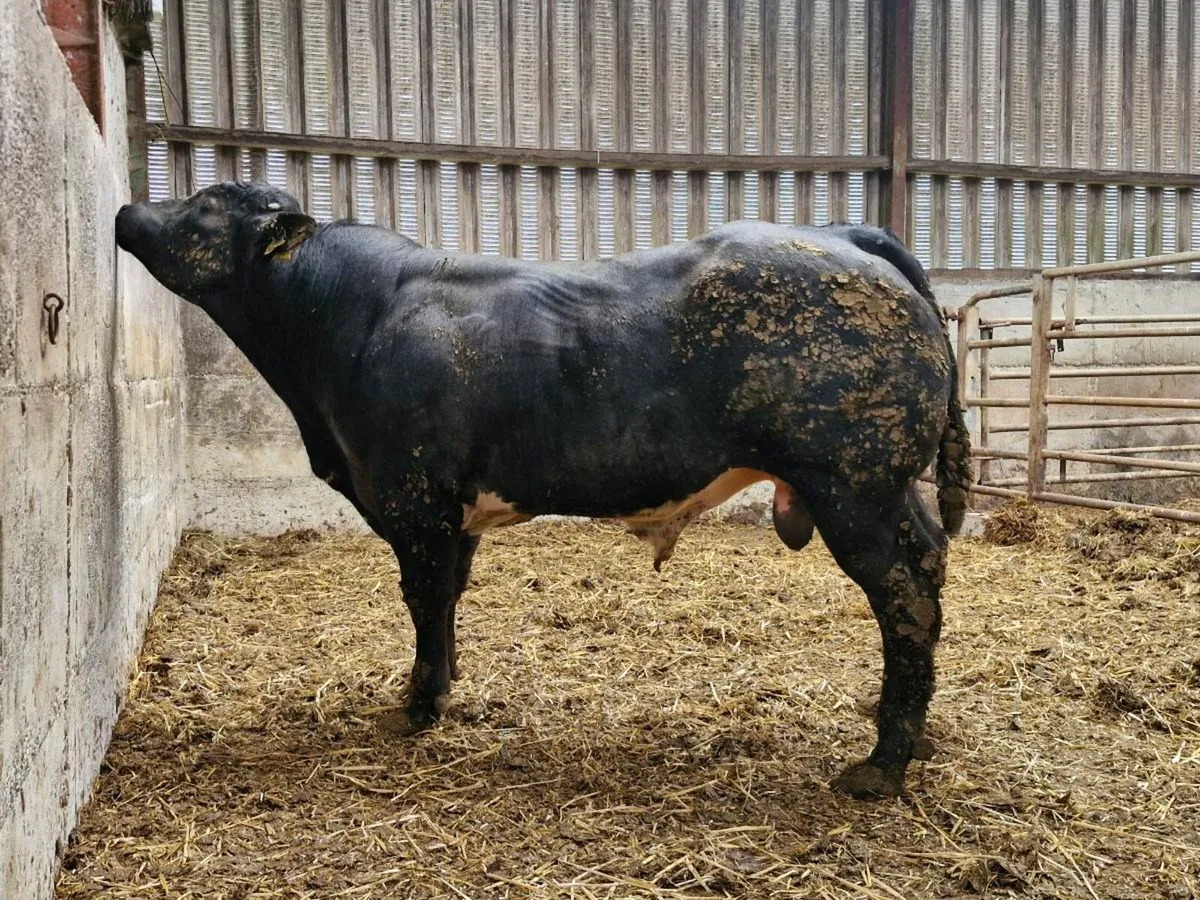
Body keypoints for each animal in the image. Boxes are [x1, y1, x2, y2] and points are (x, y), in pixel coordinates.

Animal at [116, 181, 971, 799]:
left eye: (205, 203)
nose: (127, 209)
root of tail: (844, 236)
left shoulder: (412, 499)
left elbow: (422, 600)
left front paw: (417, 707)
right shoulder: (451, 511)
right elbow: (447, 602)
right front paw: (444, 689)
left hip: (853, 485)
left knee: (905, 599)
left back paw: (880, 768)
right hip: (891, 489)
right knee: (930, 572)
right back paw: (914, 738)